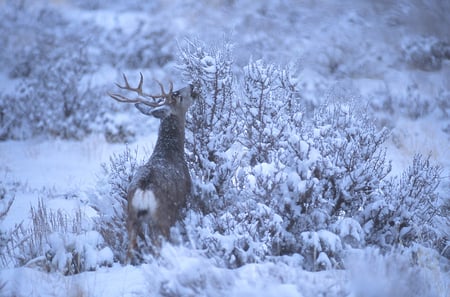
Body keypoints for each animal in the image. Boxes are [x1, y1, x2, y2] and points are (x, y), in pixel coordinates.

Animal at [108, 73, 197, 262]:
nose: (192, 86)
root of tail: (143, 190)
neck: (168, 152)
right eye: (177, 95)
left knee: (129, 252)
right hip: (162, 218)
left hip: (131, 218)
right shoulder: (184, 201)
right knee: (158, 249)